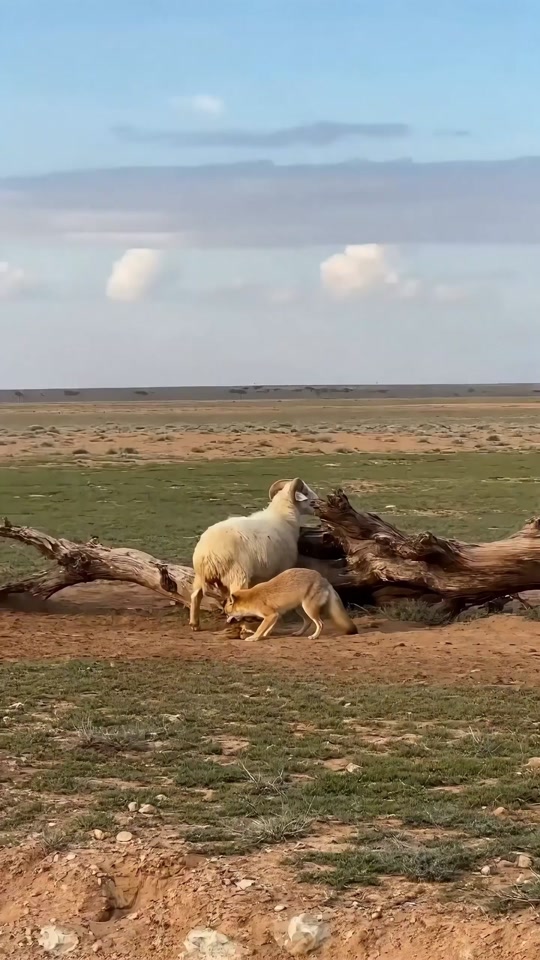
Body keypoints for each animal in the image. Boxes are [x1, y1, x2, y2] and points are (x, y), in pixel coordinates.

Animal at [189, 477, 318, 630]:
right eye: (306, 493)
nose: (318, 503)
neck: (284, 517)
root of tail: (208, 553)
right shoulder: (282, 567)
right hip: (237, 574)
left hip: (200, 575)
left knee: (195, 596)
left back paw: (195, 624)